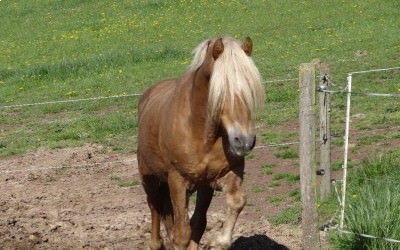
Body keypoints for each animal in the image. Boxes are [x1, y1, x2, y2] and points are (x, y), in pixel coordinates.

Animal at [138, 35, 266, 250]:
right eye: (221, 91)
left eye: (250, 89)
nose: (244, 141)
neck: (202, 134)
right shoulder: (177, 180)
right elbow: (182, 234)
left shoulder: (223, 175)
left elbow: (234, 203)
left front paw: (220, 241)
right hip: (149, 177)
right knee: (154, 207)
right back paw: (156, 243)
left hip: (201, 187)